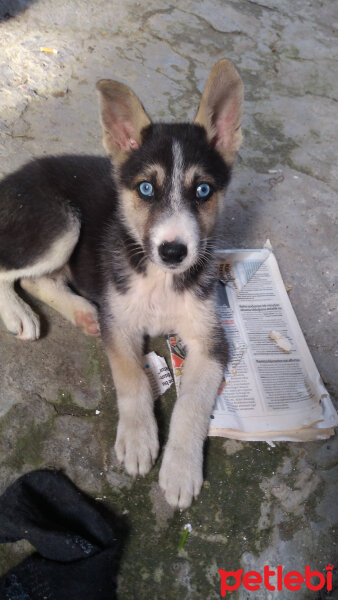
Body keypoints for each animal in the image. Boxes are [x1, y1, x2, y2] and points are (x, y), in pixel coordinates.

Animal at [0, 61, 243, 508]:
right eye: (146, 188)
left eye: (203, 190)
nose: (173, 252)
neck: (160, 278)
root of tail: (13, 178)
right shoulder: (121, 326)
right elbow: (131, 378)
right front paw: (138, 438)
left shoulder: (212, 341)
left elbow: (192, 406)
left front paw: (180, 469)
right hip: (58, 224)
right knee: (11, 269)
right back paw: (18, 312)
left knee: (39, 279)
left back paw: (83, 312)